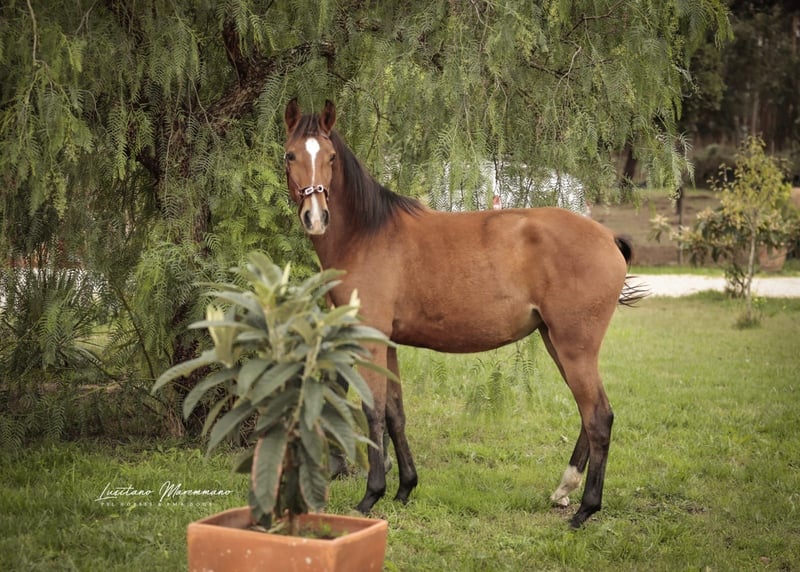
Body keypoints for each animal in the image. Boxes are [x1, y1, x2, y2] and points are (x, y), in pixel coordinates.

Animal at [283, 99, 644, 528]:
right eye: (290, 155)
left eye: (332, 158)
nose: (315, 216)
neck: (366, 234)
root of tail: (608, 237)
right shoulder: (388, 342)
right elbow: (395, 413)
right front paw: (405, 489)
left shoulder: (369, 339)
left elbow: (373, 413)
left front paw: (371, 496)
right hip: (556, 341)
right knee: (587, 413)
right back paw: (563, 490)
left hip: (575, 346)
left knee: (598, 417)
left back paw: (585, 509)